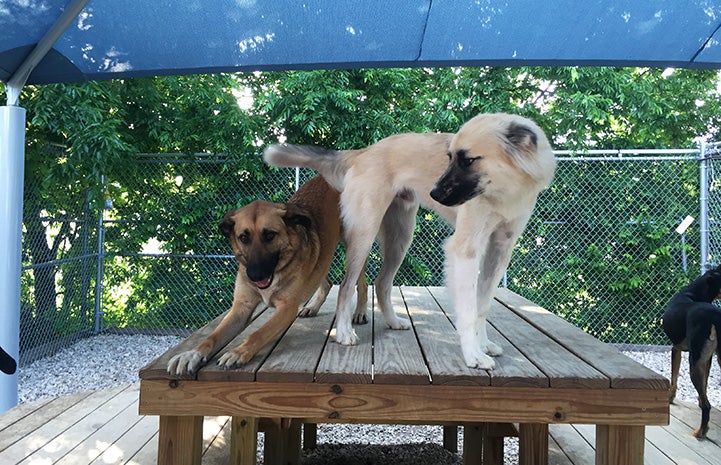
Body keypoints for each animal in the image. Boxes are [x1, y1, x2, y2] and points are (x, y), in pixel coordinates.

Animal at [168, 176, 366, 376]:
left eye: (270, 235)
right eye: (243, 237)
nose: (255, 275)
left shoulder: (286, 309)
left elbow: (258, 333)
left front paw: (238, 352)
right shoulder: (241, 308)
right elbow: (213, 336)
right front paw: (191, 354)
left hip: (355, 247)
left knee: (361, 284)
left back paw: (360, 312)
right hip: (322, 258)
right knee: (325, 280)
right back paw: (313, 307)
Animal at [660, 264, 720, 438]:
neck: (693, 293)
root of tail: (714, 316)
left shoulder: (676, 348)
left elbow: (673, 377)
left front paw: (670, 398)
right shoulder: (708, 359)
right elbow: (705, 386)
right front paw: (699, 399)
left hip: (693, 362)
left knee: (707, 406)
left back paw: (700, 431)